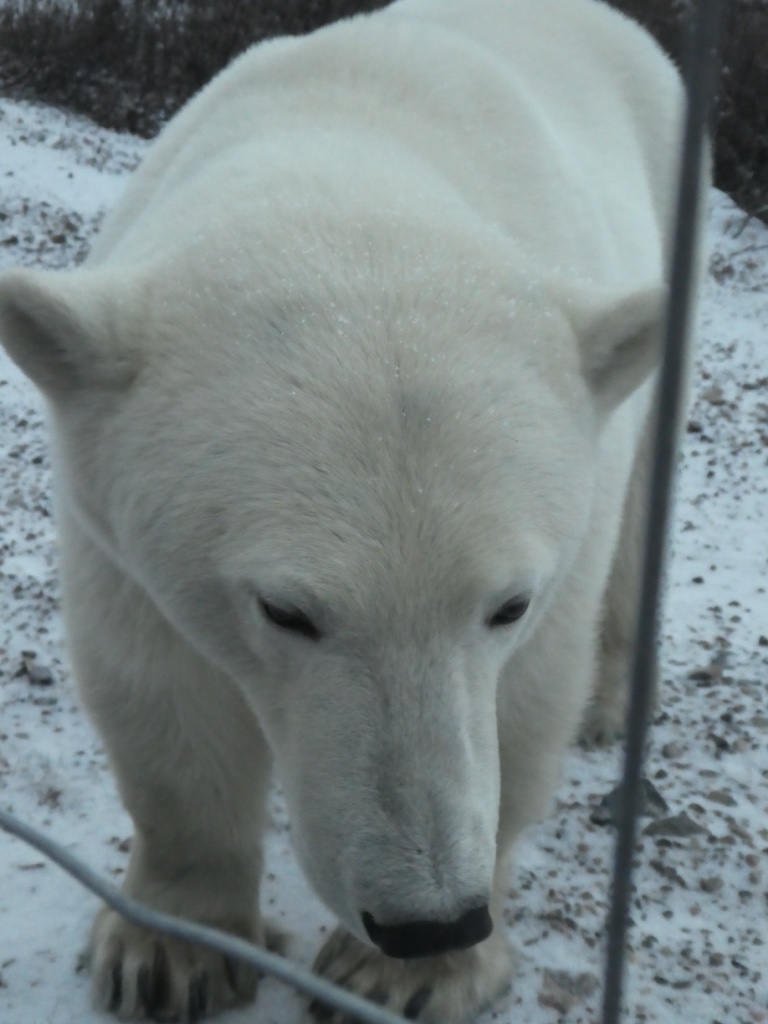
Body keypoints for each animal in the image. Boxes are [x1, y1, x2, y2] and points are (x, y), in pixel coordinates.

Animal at [0, 0, 688, 1020]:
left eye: (507, 605)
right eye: (286, 610)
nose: (432, 917)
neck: (350, 162)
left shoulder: (563, 535)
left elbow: (523, 710)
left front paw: (402, 977)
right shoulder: (108, 518)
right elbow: (161, 698)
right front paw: (172, 951)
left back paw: (609, 705)